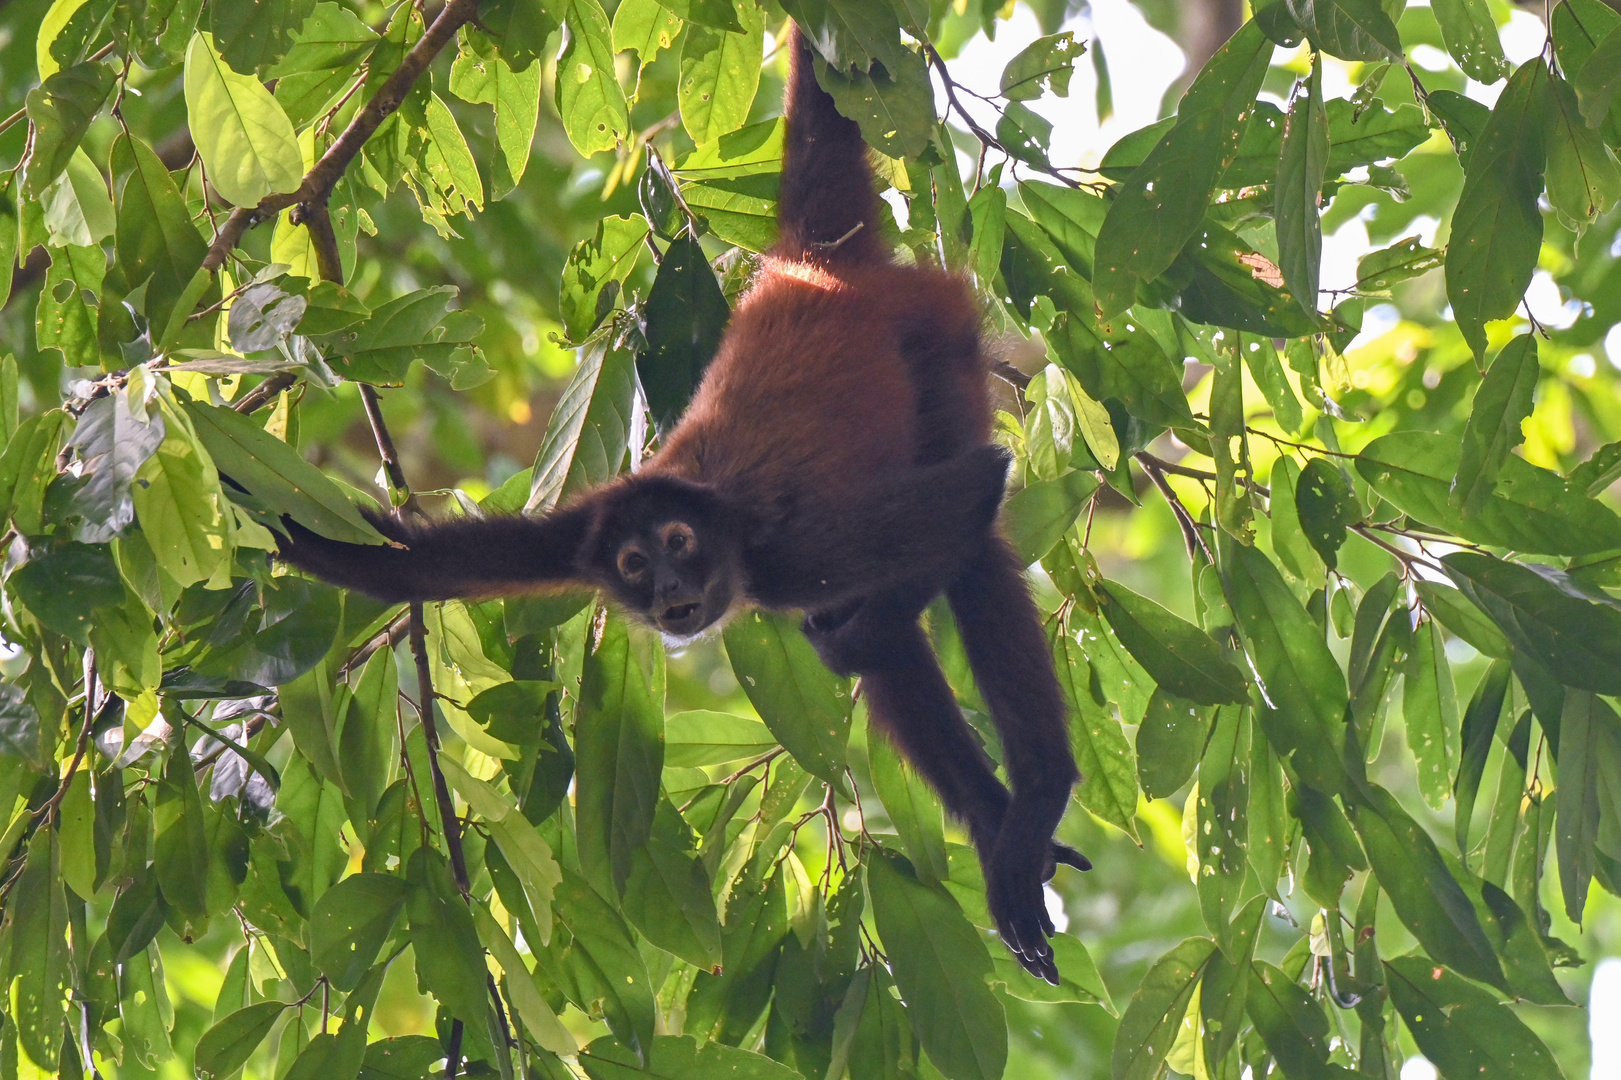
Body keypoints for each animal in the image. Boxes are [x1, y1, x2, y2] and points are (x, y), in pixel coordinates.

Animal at [278, 27, 1089, 985]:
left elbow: (971, 494)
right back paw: (999, 827)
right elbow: (413, 563)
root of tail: (811, 264)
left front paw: (854, 643)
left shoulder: (790, 546)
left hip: (934, 343)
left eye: (679, 543)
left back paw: (1030, 805)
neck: (724, 529)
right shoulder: (576, 537)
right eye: (634, 564)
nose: (670, 595)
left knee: (960, 544)